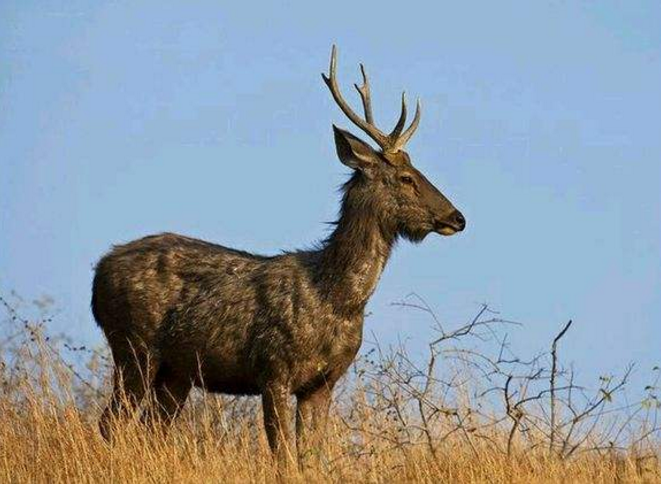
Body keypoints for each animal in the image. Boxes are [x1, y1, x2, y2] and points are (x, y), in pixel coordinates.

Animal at [91, 46, 464, 466]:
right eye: (406, 178)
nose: (458, 217)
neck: (336, 298)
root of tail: (98, 273)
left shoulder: (322, 383)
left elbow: (310, 458)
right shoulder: (273, 370)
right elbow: (283, 455)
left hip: (176, 371)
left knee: (150, 429)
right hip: (134, 347)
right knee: (109, 424)